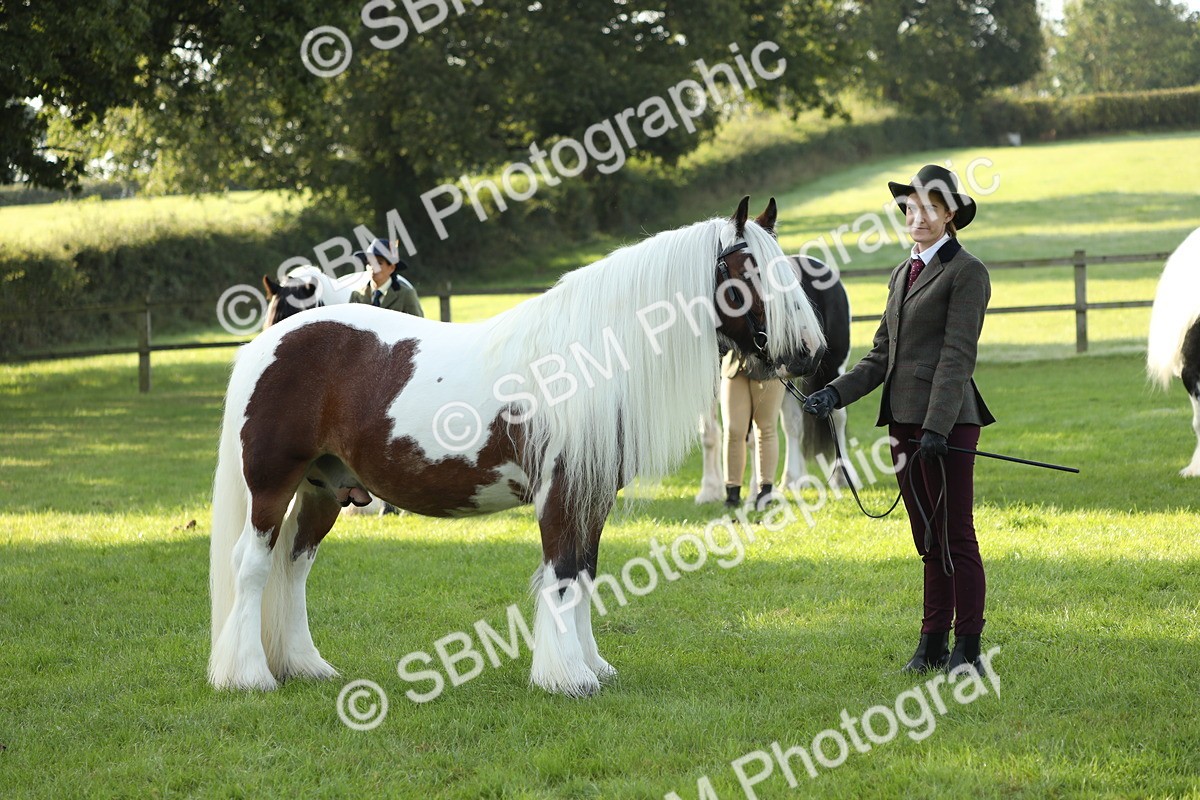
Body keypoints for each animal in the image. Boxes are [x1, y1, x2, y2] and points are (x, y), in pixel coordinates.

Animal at [208, 197, 826, 696]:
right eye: (749, 271)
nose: (810, 352)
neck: (590, 359)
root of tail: (268, 344)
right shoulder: (560, 493)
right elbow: (561, 574)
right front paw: (565, 676)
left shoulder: (592, 494)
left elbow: (584, 574)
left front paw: (592, 666)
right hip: (272, 486)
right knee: (253, 567)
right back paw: (250, 676)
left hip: (324, 489)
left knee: (293, 565)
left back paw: (305, 666)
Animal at [695, 255, 859, 505]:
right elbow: (710, 434)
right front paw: (710, 490)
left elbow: (752, 437)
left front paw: (754, 492)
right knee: (793, 425)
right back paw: (793, 479)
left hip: (834, 368)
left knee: (837, 418)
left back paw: (843, 476)